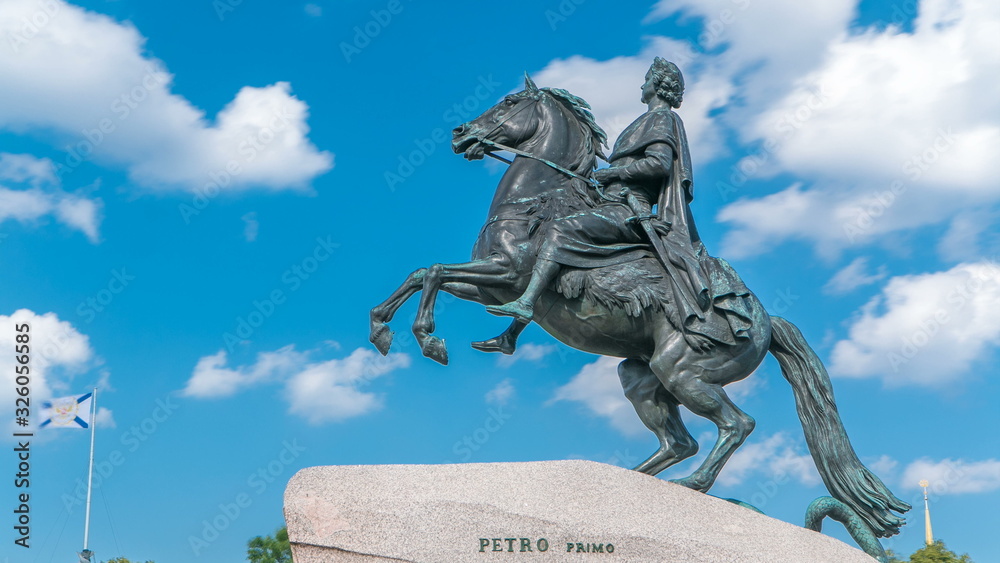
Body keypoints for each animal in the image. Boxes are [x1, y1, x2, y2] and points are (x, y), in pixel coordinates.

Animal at [372, 76, 912, 548]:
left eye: (508, 102)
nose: (460, 134)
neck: (538, 201)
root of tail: (765, 321)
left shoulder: (507, 274)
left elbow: (436, 272)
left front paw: (429, 339)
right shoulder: (485, 281)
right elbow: (422, 273)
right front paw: (383, 329)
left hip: (683, 372)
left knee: (736, 425)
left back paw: (691, 484)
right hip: (641, 375)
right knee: (679, 441)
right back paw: (633, 483)